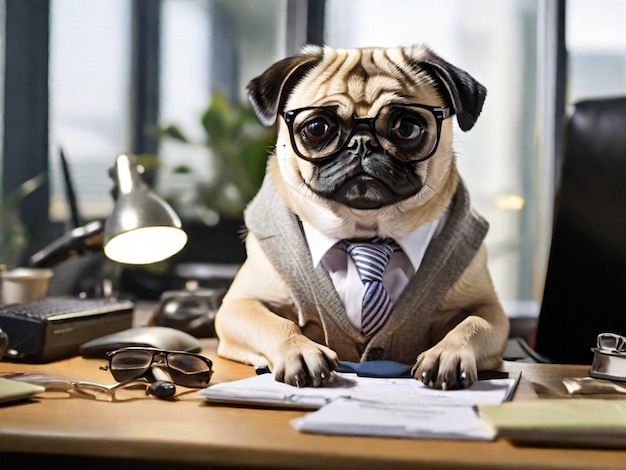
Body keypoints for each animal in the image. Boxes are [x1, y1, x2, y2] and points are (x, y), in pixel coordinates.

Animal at [214, 44, 508, 390]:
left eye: (407, 127)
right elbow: (277, 324)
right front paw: (300, 350)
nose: (362, 142)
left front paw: (447, 353)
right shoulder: (239, 305)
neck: (365, 232)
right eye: (317, 128)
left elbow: (472, 324)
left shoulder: (488, 308)